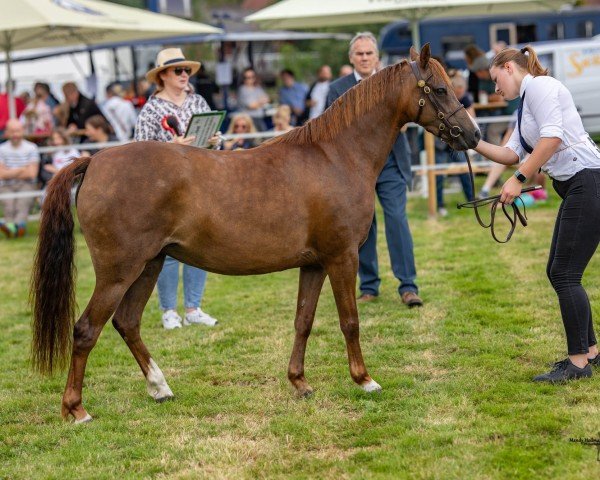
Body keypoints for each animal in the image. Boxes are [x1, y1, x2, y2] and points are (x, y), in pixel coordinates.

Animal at [31, 45, 478, 420]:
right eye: (439, 89)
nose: (472, 135)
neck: (334, 156)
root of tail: (96, 161)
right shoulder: (341, 257)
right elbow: (349, 320)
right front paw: (365, 380)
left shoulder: (314, 264)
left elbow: (303, 321)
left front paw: (300, 383)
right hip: (119, 271)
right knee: (86, 330)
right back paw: (76, 409)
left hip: (149, 265)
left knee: (127, 323)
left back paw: (160, 387)